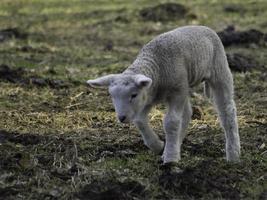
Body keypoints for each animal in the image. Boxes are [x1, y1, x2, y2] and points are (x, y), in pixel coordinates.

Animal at [87, 25, 241, 164]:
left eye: (133, 95)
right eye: (112, 96)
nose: (122, 118)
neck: (157, 69)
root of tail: (203, 27)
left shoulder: (175, 92)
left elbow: (171, 122)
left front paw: (170, 158)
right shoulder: (148, 97)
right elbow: (140, 120)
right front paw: (158, 146)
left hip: (219, 71)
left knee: (227, 111)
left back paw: (233, 154)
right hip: (184, 86)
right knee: (187, 114)